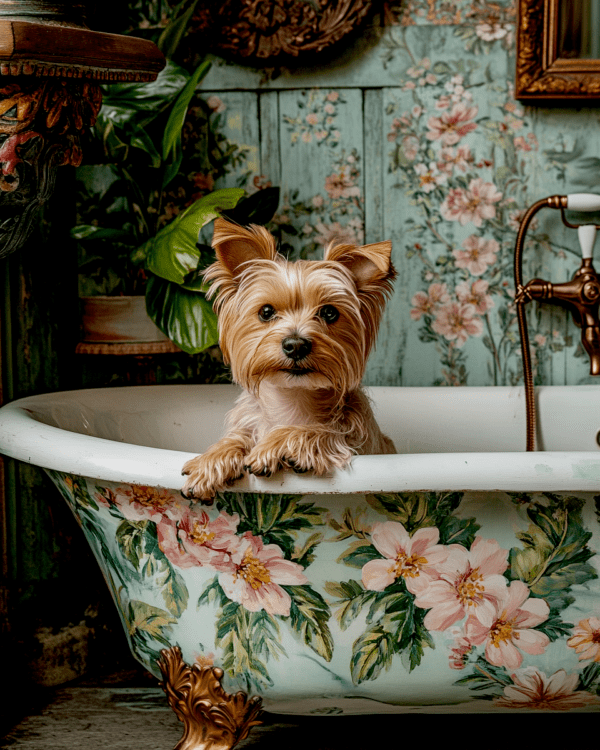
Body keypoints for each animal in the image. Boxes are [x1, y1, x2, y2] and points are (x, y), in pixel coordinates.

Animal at [183, 217, 398, 506]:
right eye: (266, 312)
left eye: (329, 313)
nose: (296, 345)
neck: (293, 400)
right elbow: (237, 437)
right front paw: (211, 461)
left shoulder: (357, 440)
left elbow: (324, 431)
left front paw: (275, 445)